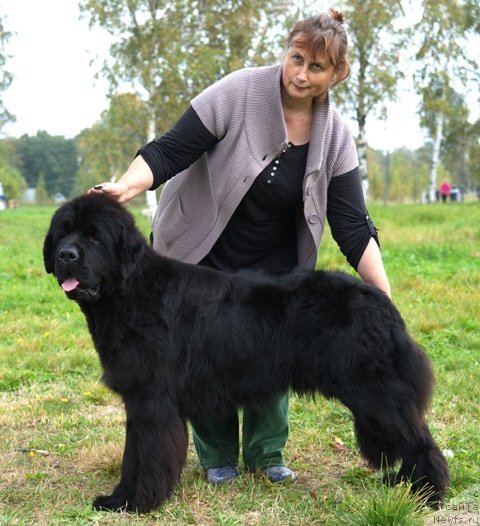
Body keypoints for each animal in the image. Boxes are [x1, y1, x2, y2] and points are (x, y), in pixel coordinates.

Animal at [44, 196, 450, 512]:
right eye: (64, 232)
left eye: (94, 236)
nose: (65, 255)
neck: (130, 292)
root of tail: (380, 299)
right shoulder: (139, 400)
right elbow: (132, 456)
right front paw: (121, 499)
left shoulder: (152, 401)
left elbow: (145, 457)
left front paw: (136, 503)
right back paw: (404, 485)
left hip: (371, 392)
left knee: (419, 440)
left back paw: (427, 494)